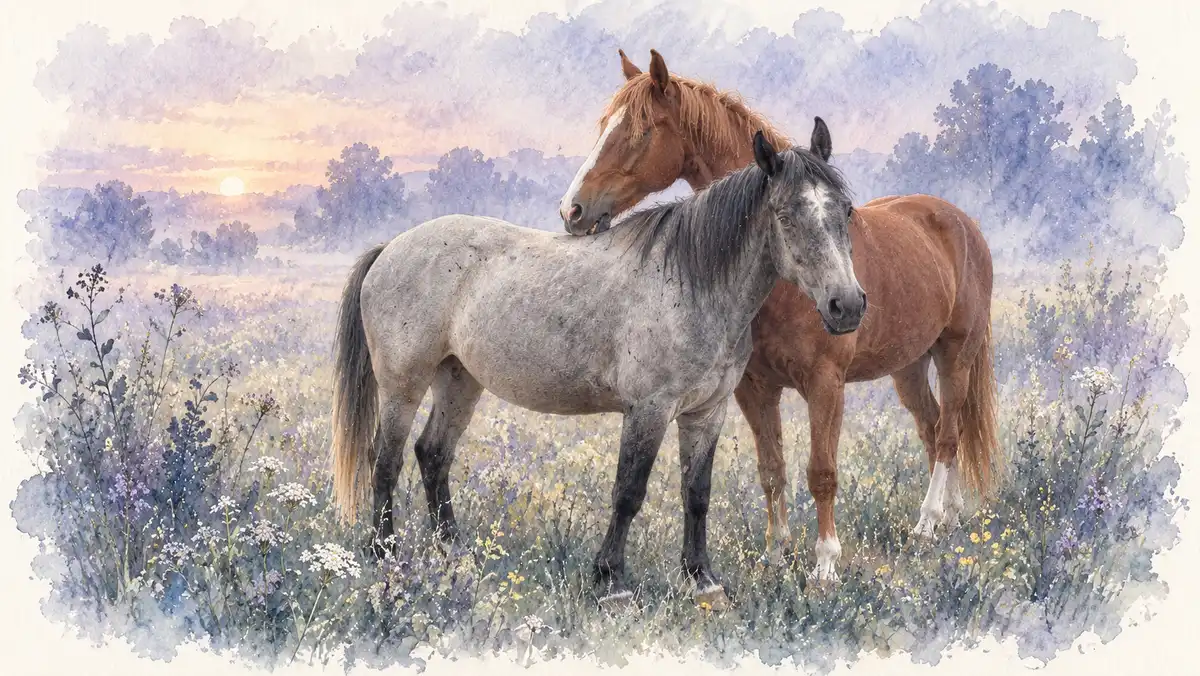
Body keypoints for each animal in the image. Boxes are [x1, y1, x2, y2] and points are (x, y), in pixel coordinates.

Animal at [330, 126, 865, 609]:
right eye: (785, 215)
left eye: (845, 210)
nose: (847, 306)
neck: (693, 281)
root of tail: (390, 249)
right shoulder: (649, 409)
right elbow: (628, 492)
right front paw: (612, 581)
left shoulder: (706, 413)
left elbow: (697, 493)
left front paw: (702, 579)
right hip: (404, 383)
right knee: (386, 459)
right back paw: (386, 554)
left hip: (460, 379)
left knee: (433, 454)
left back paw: (454, 553)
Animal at [560, 48, 999, 581]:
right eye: (605, 125)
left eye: (641, 130)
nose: (573, 211)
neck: (784, 283)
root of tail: (960, 222)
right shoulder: (755, 388)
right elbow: (772, 470)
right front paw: (776, 555)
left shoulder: (825, 383)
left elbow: (821, 472)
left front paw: (825, 564)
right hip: (909, 366)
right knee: (934, 430)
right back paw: (948, 519)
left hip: (956, 355)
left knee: (951, 434)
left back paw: (928, 522)